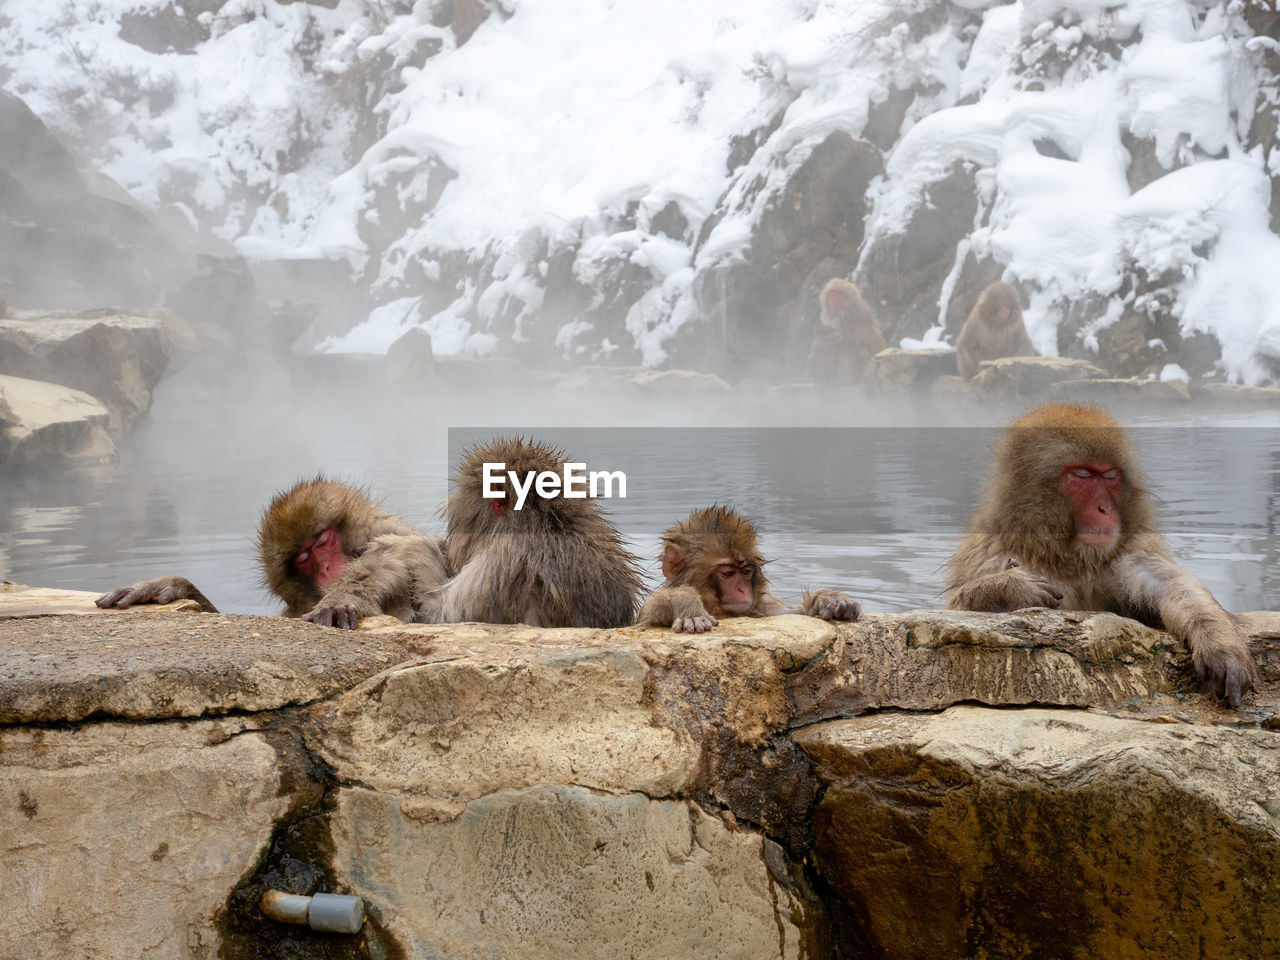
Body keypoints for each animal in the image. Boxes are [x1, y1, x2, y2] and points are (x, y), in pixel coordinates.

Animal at [94, 478, 448, 627]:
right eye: (302, 560)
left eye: (322, 540)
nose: (327, 570)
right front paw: (172, 586)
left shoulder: (401, 540)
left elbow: (393, 557)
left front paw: (344, 598)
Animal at [634, 506, 865, 634]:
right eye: (728, 573)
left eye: (746, 571)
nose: (743, 590)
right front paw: (687, 604)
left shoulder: (765, 606)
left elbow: (791, 613)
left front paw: (827, 599)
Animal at [947, 407, 1254, 706]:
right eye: (1082, 474)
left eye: (1110, 476)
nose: (1105, 509)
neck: (1072, 560)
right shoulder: (988, 555)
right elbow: (958, 611)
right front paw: (1010, 587)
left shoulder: (1127, 550)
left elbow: (1169, 584)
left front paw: (1219, 643)